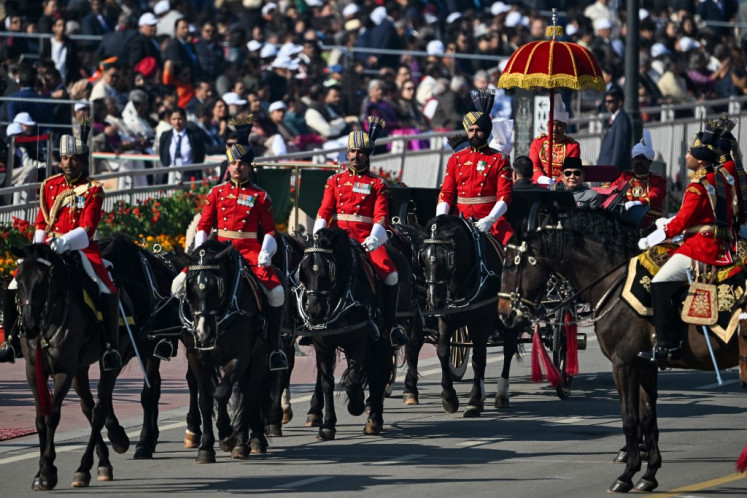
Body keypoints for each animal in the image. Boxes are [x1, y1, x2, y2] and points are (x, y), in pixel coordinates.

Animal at [10, 245, 130, 490]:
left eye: (42, 281)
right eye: (18, 279)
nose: (28, 328)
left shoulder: (63, 371)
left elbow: (52, 417)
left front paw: (47, 471)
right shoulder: (32, 372)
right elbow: (40, 420)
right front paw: (40, 471)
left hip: (110, 362)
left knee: (99, 410)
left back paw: (85, 467)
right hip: (80, 371)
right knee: (88, 408)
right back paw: (103, 462)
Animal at [180, 239, 270, 462]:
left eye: (218, 288)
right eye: (189, 289)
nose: (203, 333)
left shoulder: (240, 356)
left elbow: (221, 393)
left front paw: (227, 435)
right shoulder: (195, 357)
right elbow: (205, 399)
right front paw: (206, 447)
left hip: (259, 357)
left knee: (250, 393)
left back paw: (250, 441)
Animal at [294, 228, 394, 438]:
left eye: (329, 271)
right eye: (303, 271)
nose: (315, 312)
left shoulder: (358, 340)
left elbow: (352, 381)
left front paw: (356, 405)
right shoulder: (322, 344)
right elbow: (327, 382)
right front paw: (327, 425)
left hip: (383, 342)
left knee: (380, 373)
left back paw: (374, 418)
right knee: (373, 373)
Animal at [420, 216, 520, 414]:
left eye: (449, 259)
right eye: (423, 258)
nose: (435, 302)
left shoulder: (481, 322)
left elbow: (478, 359)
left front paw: (474, 400)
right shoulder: (446, 320)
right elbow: (443, 352)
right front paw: (449, 398)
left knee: (508, 349)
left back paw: (501, 394)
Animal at [500, 208, 747, 492]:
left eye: (511, 265)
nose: (504, 315)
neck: (613, 281)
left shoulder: (623, 364)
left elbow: (629, 418)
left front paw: (627, 474)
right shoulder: (646, 364)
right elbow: (647, 417)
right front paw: (648, 475)